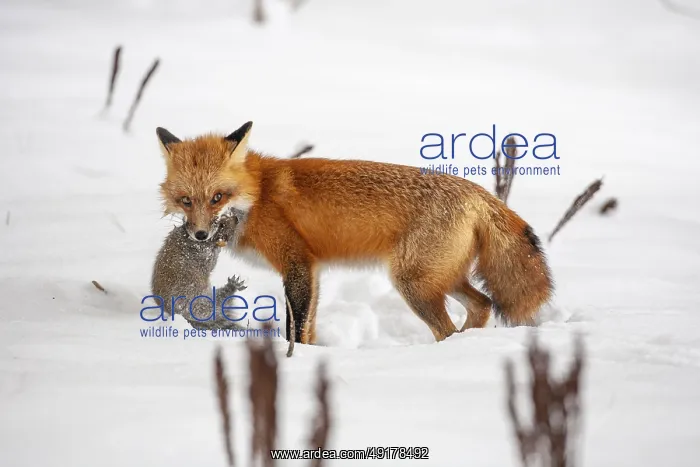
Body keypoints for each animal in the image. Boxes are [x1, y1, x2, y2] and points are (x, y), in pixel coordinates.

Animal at [154, 121, 553, 344]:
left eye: (217, 197)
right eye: (186, 200)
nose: (200, 236)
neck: (259, 193)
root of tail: (480, 195)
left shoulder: (296, 263)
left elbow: (297, 329)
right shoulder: (313, 268)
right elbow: (310, 327)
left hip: (413, 283)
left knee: (449, 328)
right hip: (442, 278)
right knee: (483, 305)